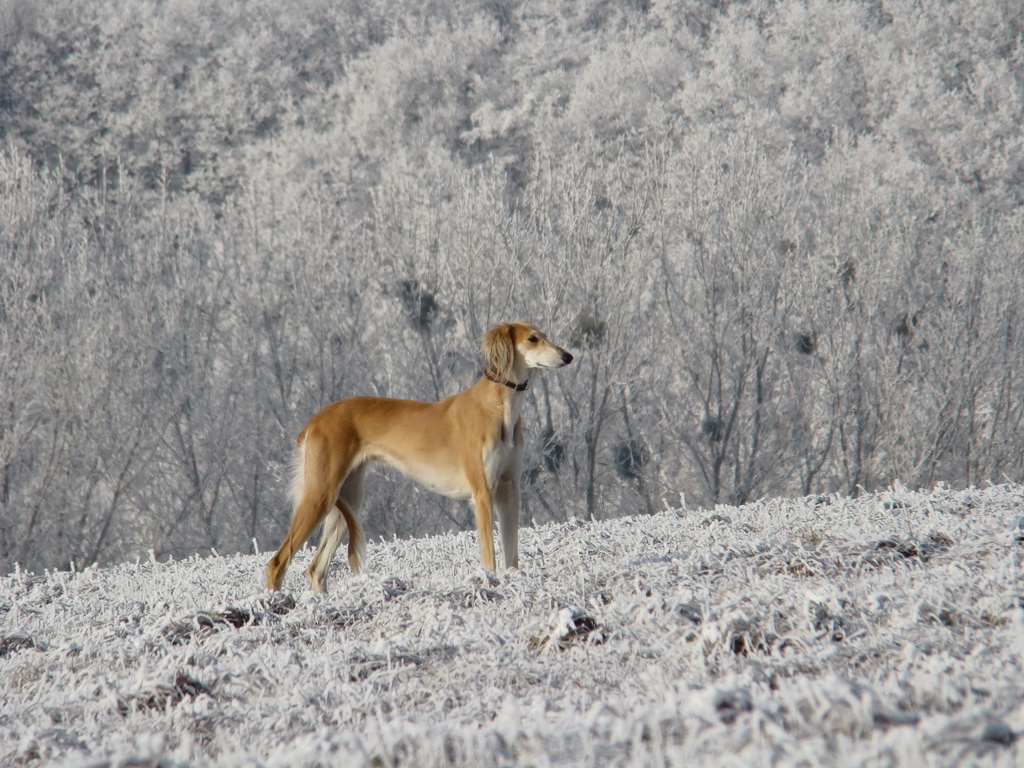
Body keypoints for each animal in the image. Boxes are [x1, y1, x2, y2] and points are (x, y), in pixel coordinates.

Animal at [264, 321, 573, 593]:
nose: (568, 356)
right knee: (277, 562)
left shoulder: (510, 489)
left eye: (545, 335)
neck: (499, 408)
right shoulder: (483, 492)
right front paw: (491, 582)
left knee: (316, 568)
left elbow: (512, 554)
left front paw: (513, 583)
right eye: (532, 339)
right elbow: (490, 555)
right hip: (320, 494)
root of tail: (315, 420)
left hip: (347, 499)